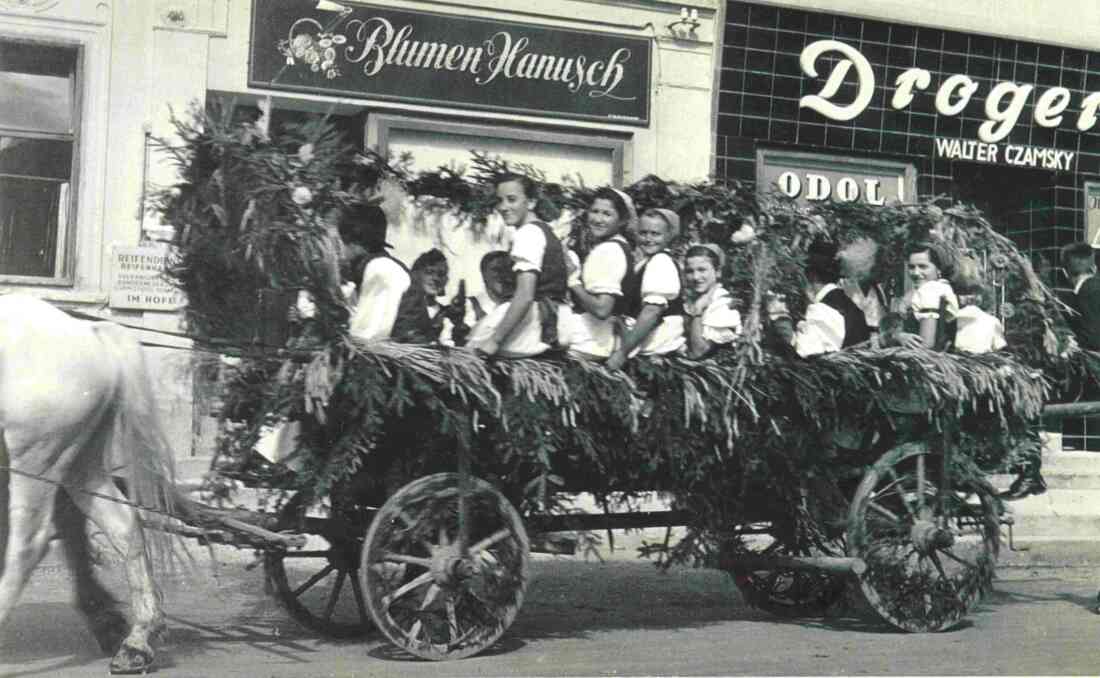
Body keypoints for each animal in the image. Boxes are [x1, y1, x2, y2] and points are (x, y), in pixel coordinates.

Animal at [0, 294, 176, 673]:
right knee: (124, 526)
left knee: (28, 543)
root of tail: (90, 333)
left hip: (37, 456)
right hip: (79, 463)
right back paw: (136, 642)